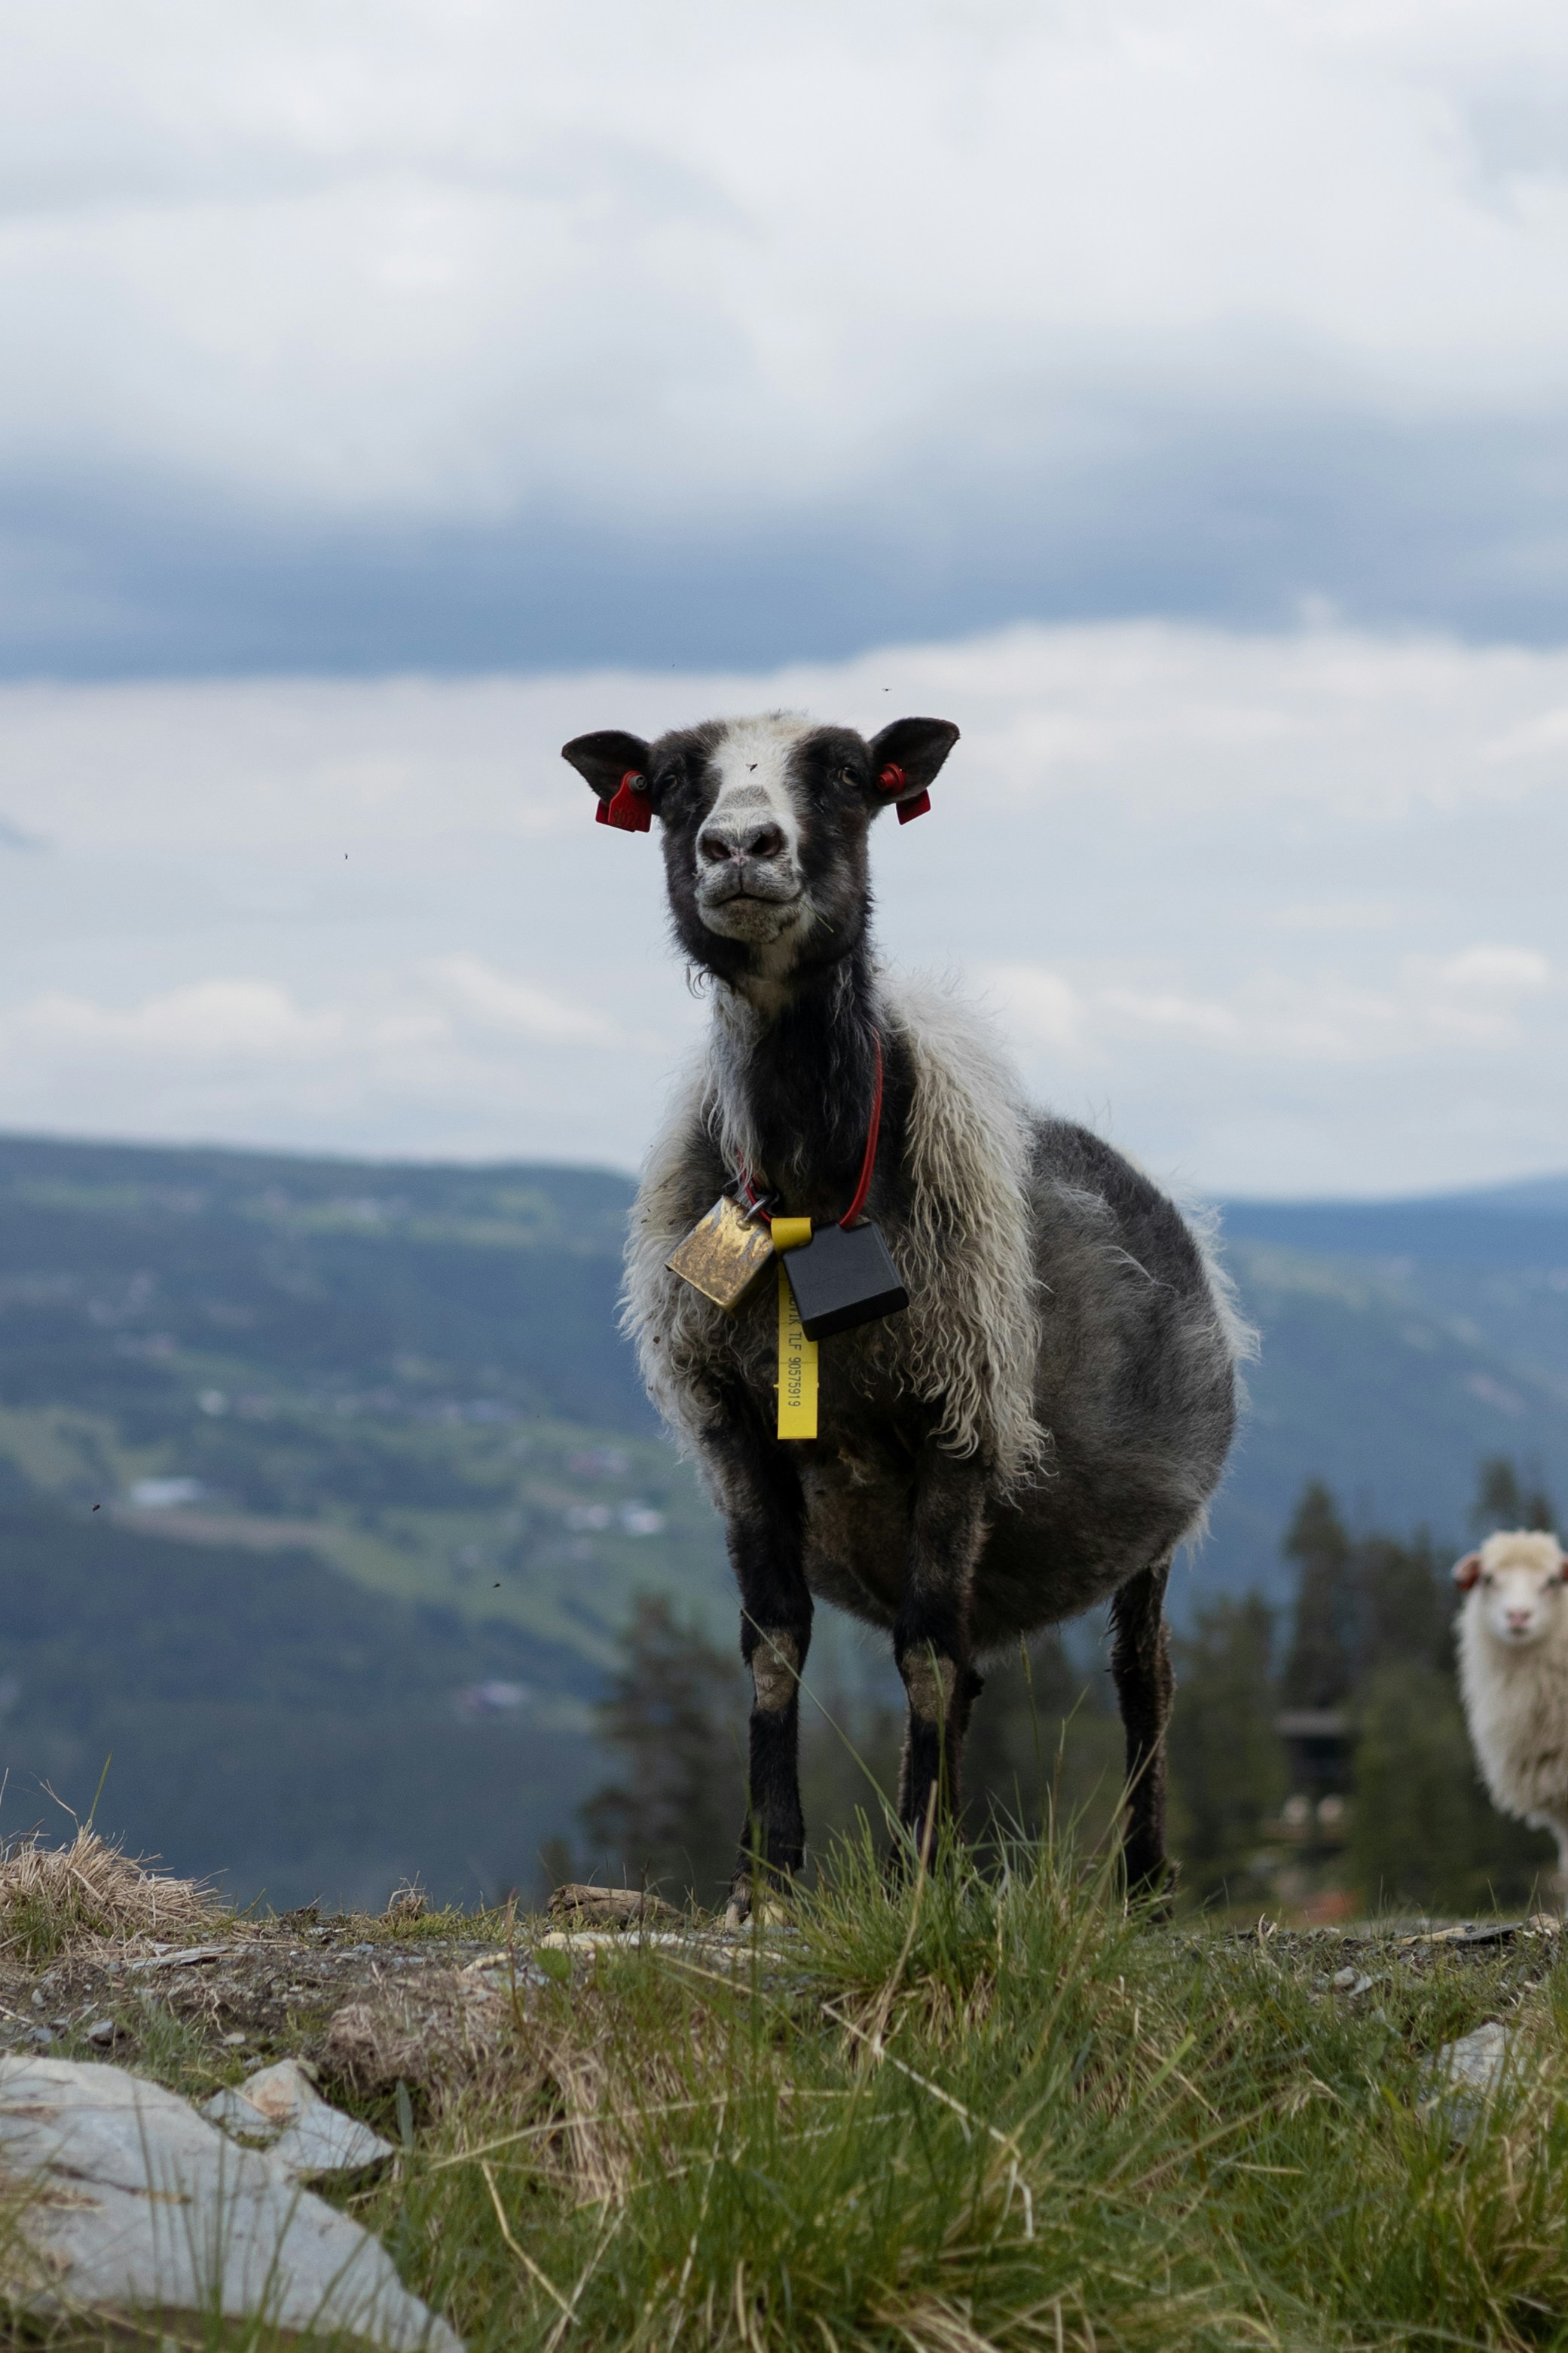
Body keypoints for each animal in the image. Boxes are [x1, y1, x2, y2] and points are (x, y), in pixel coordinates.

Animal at [562, 710, 1247, 1918]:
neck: (805, 1187)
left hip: (1149, 1529)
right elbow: (774, 1643)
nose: (740, 848)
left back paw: (1140, 1883)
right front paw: (767, 1882)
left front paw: (913, 1876)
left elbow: (923, 1657)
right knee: (970, 1665)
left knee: (1140, 1677)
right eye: (673, 780)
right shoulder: (732, 1424)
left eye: (846, 774)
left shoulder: (959, 1419)